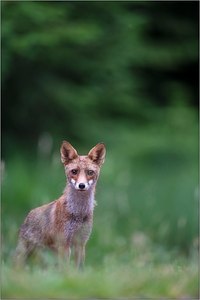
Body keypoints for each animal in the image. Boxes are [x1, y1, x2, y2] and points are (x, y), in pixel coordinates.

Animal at [14, 141, 105, 270]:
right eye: (74, 171)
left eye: (90, 172)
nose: (81, 185)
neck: (78, 213)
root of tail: (28, 216)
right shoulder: (64, 244)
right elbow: (65, 270)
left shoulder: (81, 243)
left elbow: (79, 269)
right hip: (29, 254)